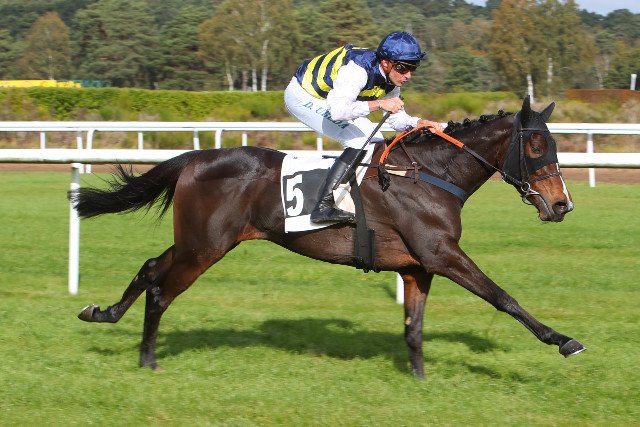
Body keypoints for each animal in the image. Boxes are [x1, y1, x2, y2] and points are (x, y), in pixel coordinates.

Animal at [71, 96, 585, 379]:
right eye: (536, 145)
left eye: (554, 145)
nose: (562, 205)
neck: (430, 175)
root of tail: (195, 158)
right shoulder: (442, 254)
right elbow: (503, 297)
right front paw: (563, 339)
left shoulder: (417, 267)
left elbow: (413, 328)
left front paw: (419, 379)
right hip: (206, 246)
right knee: (161, 290)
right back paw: (148, 360)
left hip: (197, 241)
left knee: (150, 268)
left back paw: (102, 313)